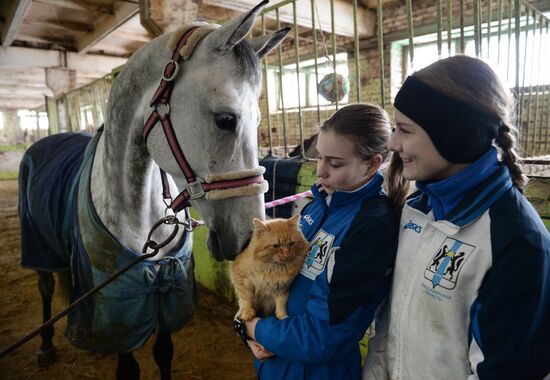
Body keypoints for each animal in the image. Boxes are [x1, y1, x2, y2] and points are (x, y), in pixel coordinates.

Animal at [17, 1, 288, 378]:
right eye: (226, 119)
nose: (249, 237)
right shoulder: (118, 309)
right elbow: (128, 365)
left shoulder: (167, 291)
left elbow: (163, 352)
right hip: (38, 245)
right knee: (44, 286)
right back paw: (44, 346)